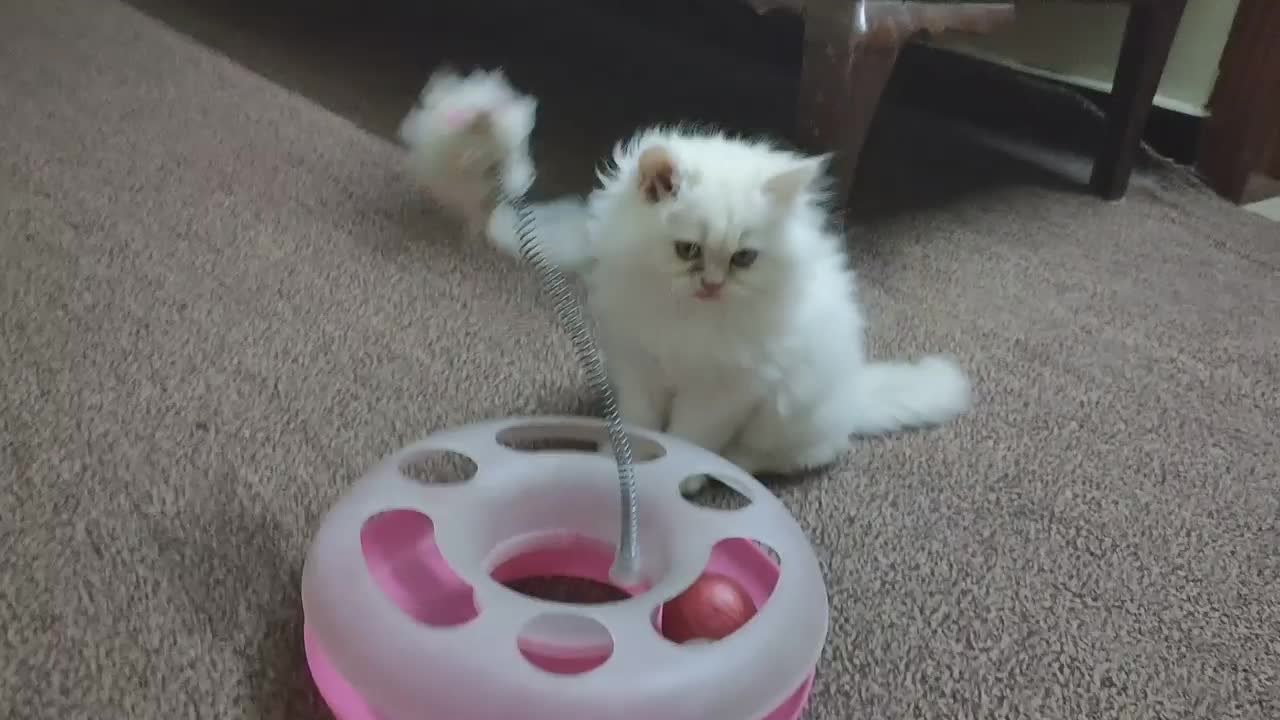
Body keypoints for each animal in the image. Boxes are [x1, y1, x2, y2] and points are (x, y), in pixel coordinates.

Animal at [488, 126, 967, 489]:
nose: (713, 285)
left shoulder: (723, 392)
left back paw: (730, 467)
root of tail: (854, 393)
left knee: (776, 456)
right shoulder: (640, 370)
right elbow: (639, 425)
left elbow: (687, 438)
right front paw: (621, 462)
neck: (687, 319)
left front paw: (678, 480)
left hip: (788, 418)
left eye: (743, 259)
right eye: (687, 251)